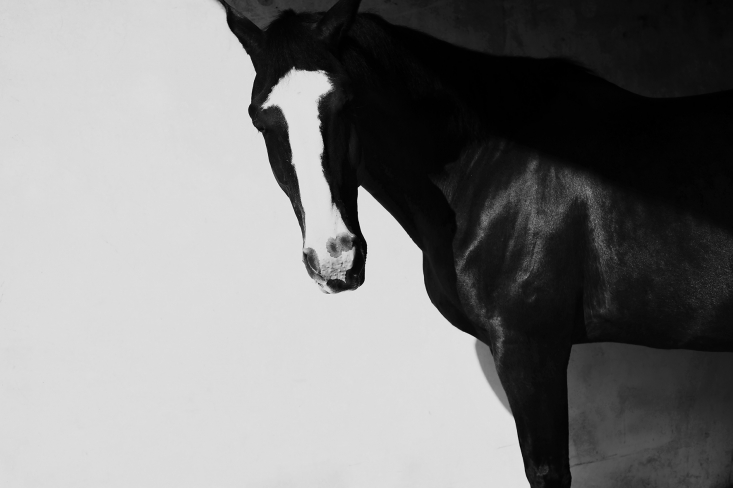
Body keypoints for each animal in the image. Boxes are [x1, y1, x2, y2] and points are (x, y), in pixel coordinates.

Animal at [215, 0, 733, 486]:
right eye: (261, 120)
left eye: (345, 102)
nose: (335, 257)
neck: (486, 168)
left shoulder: (530, 349)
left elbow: (547, 470)